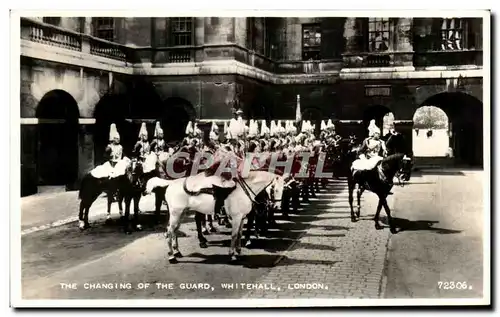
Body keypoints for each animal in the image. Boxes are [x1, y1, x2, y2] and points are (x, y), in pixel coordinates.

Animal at [145, 170, 286, 262]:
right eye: (274, 189)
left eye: (283, 189)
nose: (276, 207)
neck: (243, 191)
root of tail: (171, 183)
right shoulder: (236, 218)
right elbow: (234, 235)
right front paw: (232, 255)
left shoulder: (242, 218)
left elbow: (240, 235)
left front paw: (239, 252)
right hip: (176, 213)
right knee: (169, 232)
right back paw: (171, 256)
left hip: (181, 213)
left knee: (173, 231)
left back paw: (177, 251)